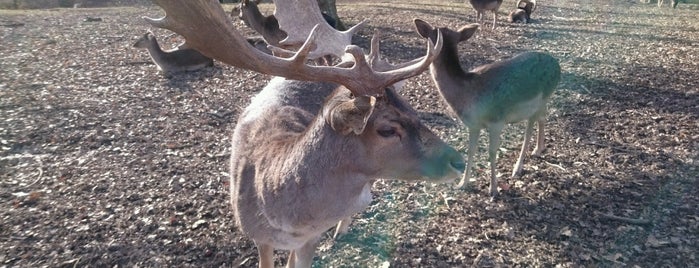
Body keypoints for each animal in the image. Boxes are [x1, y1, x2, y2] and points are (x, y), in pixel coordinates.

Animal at [416, 19, 564, 197]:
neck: (467, 96)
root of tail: (557, 64)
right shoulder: (472, 125)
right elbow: (470, 150)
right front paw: (462, 184)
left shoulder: (496, 122)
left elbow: (492, 152)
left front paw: (493, 189)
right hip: (543, 102)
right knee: (543, 117)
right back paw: (538, 149)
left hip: (538, 102)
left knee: (528, 132)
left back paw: (517, 168)